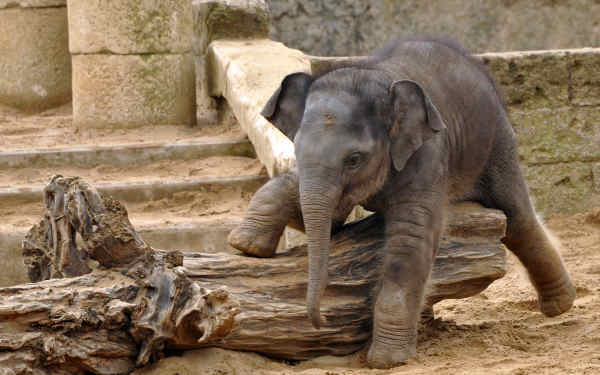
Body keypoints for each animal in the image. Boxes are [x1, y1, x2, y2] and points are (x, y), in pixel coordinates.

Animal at [227, 36, 576, 370]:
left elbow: (410, 242)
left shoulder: (428, 153)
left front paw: (387, 360)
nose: (320, 321)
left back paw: (560, 305)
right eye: (296, 149)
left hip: (494, 140)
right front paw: (246, 245)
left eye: (354, 159)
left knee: (517, 219)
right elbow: (323, 216)